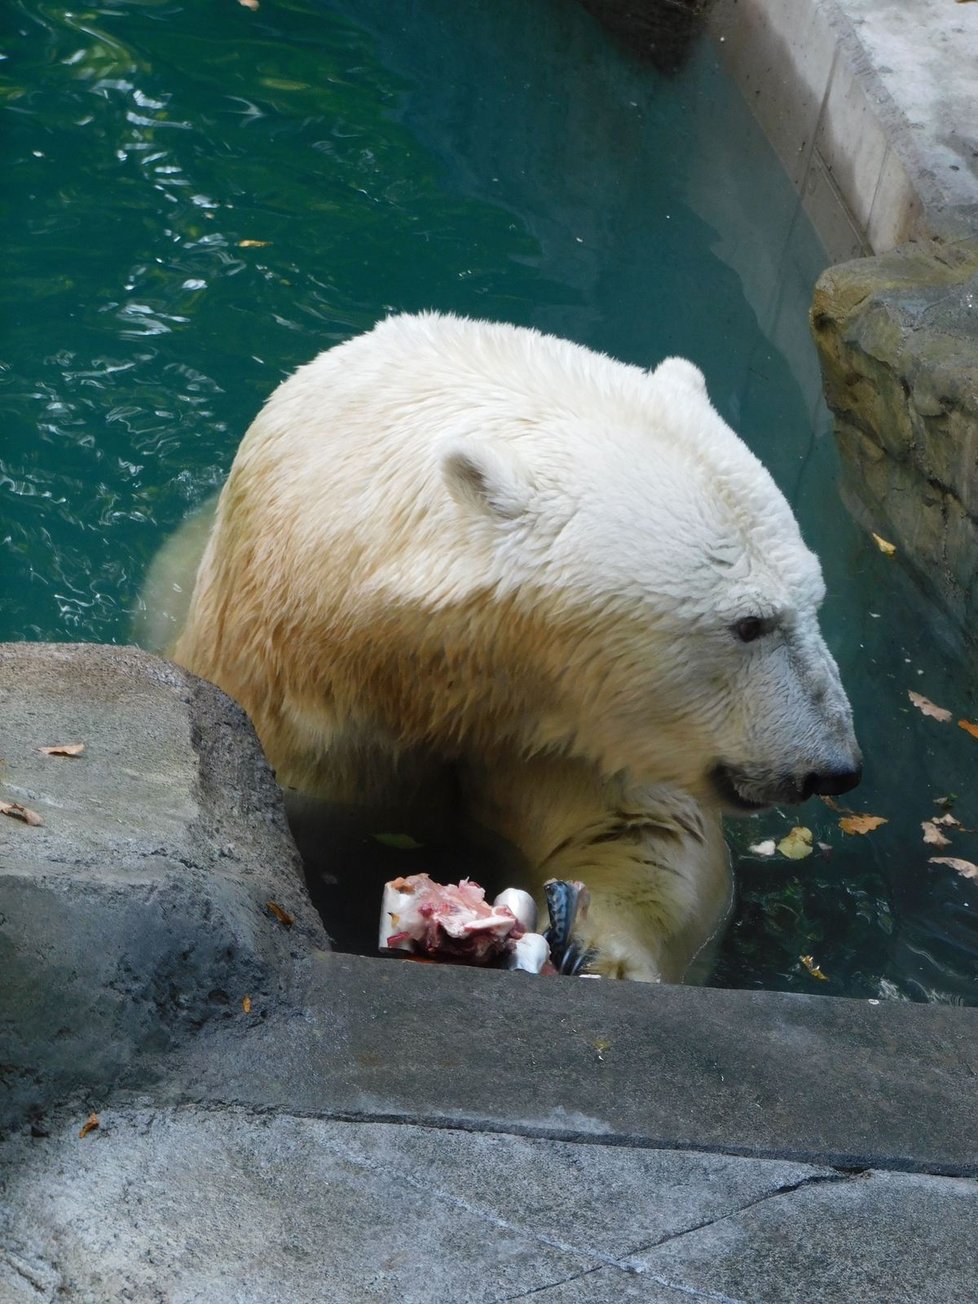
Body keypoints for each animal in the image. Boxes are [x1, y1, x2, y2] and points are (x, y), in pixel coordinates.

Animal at [149, 315, 860, 980]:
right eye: (749, 624)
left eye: (815, 596)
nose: (833, 767)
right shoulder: (311, 704)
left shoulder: (573, 726)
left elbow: (646, 833)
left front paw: (600, 950)